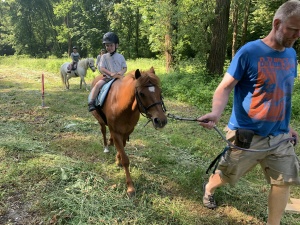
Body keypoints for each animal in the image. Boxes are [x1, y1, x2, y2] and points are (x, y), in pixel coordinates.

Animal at [90, 67, 168, 197]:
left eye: (160, 91)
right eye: (141, 94)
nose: (161, 120)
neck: (122, 106)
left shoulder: (128, 131)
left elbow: (122, 147)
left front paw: (118, 159)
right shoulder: (116, 131)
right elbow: (125, 159)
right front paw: (130, 187)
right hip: (100, 121)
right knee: (103, 131)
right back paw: (106, 146)